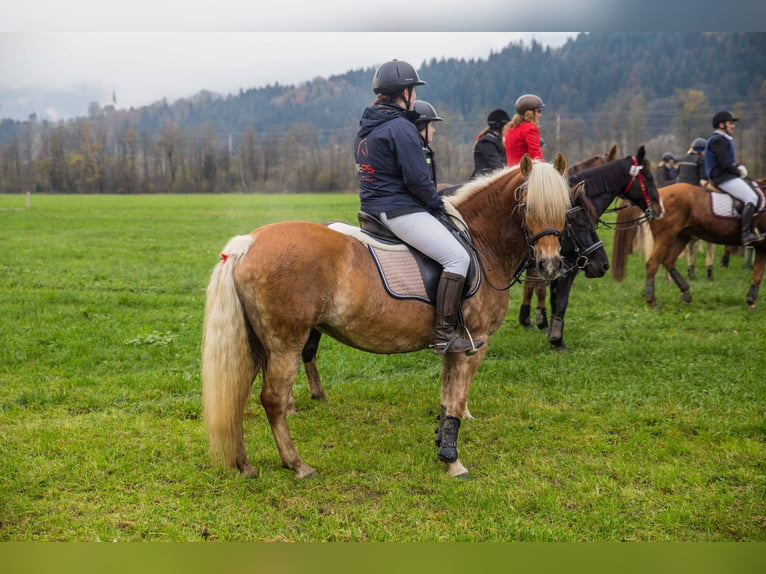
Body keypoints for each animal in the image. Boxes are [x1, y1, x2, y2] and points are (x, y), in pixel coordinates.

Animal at [201, 153, 572, 482]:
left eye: (565, 209)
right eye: (527, 206)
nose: (551, 264)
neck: (481, 243)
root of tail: (248, 242)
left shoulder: (453, 345)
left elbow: (446, 396)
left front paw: (442, 442)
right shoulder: (475, 342)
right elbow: (456, 401)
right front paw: (452, 461)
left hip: (257, 344)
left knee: (237, 396)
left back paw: (244, 465)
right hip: (285, 343)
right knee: (273, 400)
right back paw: (297, 465)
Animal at [520, 144, 668, 354]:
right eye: (647, 177)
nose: (659, 209)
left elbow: (547, 294)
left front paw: (543, 326)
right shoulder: (568, 266)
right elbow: (560, 300)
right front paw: (556, 339)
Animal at [612, 180, 766, 310]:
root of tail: (659, 192)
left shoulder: (761, 248)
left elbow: (757, 274)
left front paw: (751, 300)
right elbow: (758, 273)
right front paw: (752, 301)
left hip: (682, 237)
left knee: (668, 261)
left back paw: (685, 292)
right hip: (666, 237)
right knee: (653, 263)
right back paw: (652, 301)